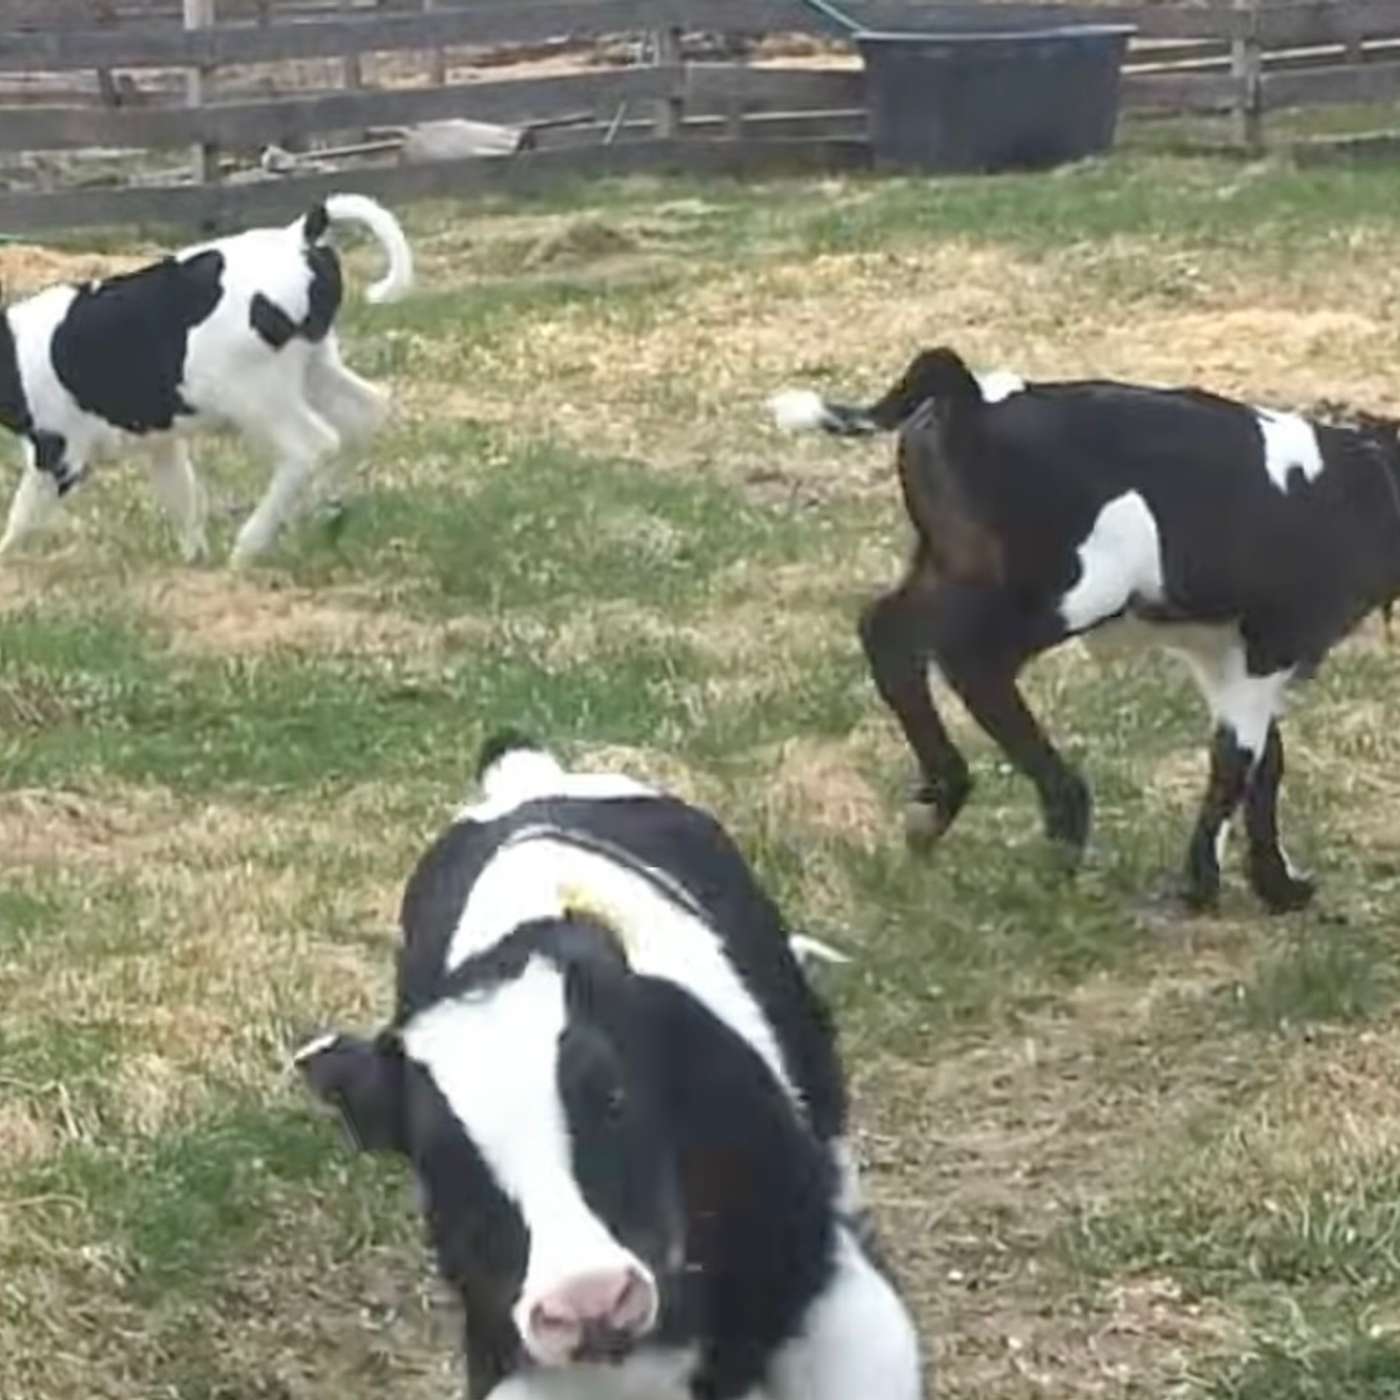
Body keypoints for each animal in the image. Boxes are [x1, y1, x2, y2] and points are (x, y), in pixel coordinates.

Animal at [0, 193, 412, 567]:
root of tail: (298, 236)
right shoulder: (159, 440)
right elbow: (181, 497)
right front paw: (194, 561)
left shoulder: (59, 451)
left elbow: (21, 514)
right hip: (315, 368)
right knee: (368, 410)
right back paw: (320, 505)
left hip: (257, 395)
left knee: (312, 445)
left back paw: (248, 547)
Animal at [770, 346, 1400, 913]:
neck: (1366, 481)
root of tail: (972, 401)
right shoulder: (1267, 653)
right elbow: (1236, 763)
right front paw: (1202, 887)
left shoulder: (1225, 655)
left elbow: (1264, 764)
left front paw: (1275, 885)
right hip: (1069, 589)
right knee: (971, 662)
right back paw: (1062, 817)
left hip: (956, 567)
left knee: (889, 634)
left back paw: (945, 796)